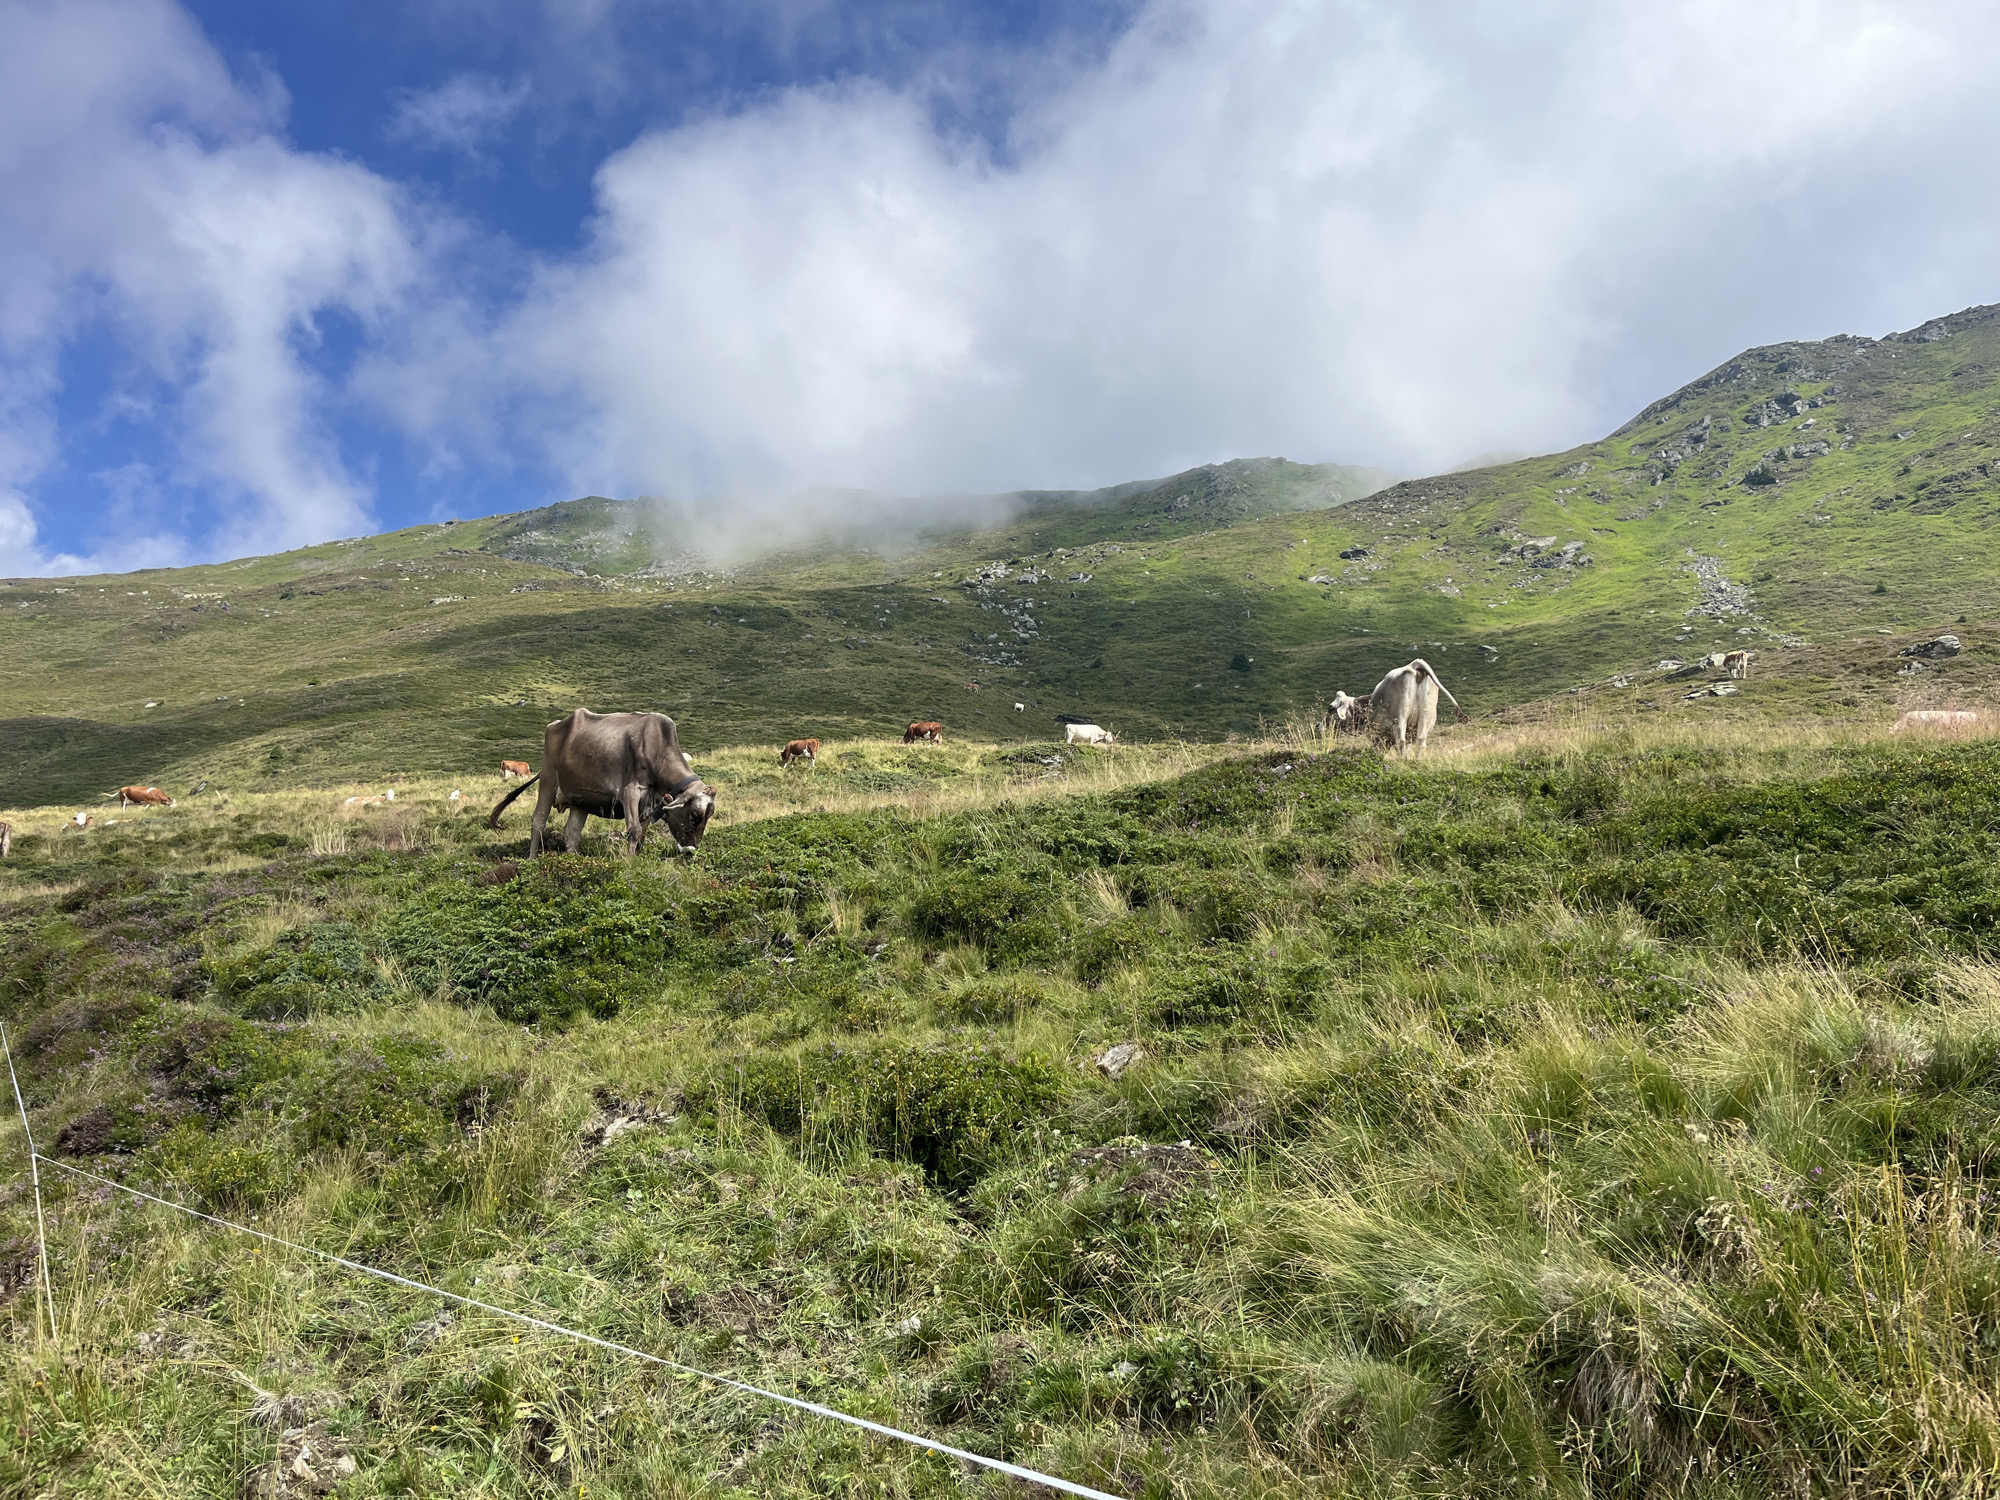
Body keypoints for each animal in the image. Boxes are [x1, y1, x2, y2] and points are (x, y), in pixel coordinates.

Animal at [487, 708, 715, 857]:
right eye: (695, 815)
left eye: (708, 816)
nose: (690, 851)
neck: (657, 748)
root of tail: (557, 724)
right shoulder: (629, 791)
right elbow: (633, 831)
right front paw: (629, 864)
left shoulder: (650, 802)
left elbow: (642, 834)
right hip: (549, 780)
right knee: (538, 822)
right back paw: (532, 859)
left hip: (580, 799)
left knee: (571, 833)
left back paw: (574, 862)